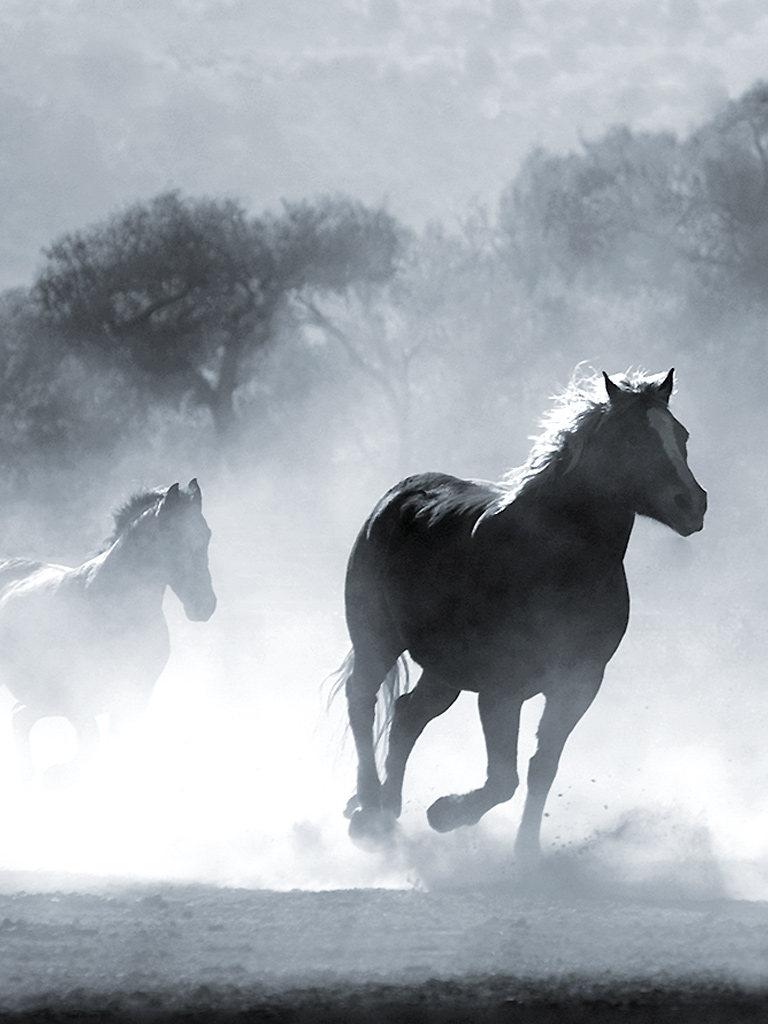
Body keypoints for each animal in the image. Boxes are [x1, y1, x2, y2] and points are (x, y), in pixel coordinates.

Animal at [0, 479, 216, 784]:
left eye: (206, 534)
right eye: (173, 537)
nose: (205, 605)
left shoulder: (134, 696)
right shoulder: (76, 697)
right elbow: (91, 741)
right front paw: (58, 774)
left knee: (19, 717)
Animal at [336, 369, 707, 866]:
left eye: (680, 435)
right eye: (632, 438)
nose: (692, 503)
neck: (556, 562)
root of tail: (397, 497)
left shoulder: (578, 683)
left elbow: (541, 767)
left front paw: (526, 852)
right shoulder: (501, 688)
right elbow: (502, 778)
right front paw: (445, 813)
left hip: (444, 671)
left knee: (407, 714)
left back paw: (389, 812)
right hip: (377, 641)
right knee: (363, 702)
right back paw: (369, 809)